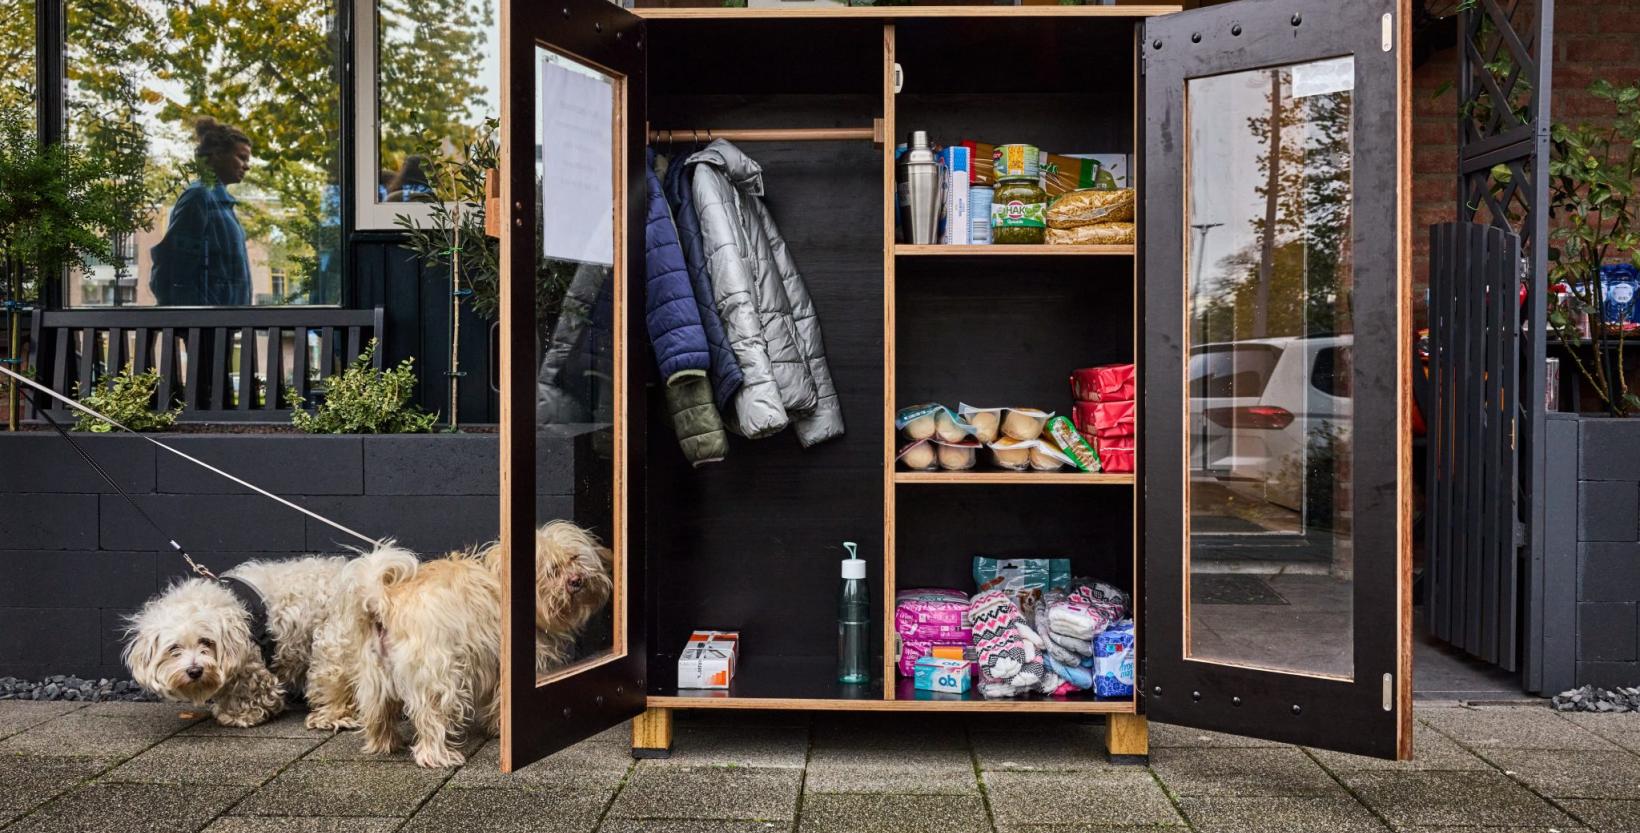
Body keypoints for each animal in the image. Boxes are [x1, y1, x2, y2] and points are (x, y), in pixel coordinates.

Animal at [123, 521, 616, 767]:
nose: (578, 581)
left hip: (372, 676)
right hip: (436, 678)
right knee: (430, 721)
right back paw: (439, 757)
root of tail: (381, 599)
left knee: (377, 715)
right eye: (552, 570)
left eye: (576, 559)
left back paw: (381, 745)